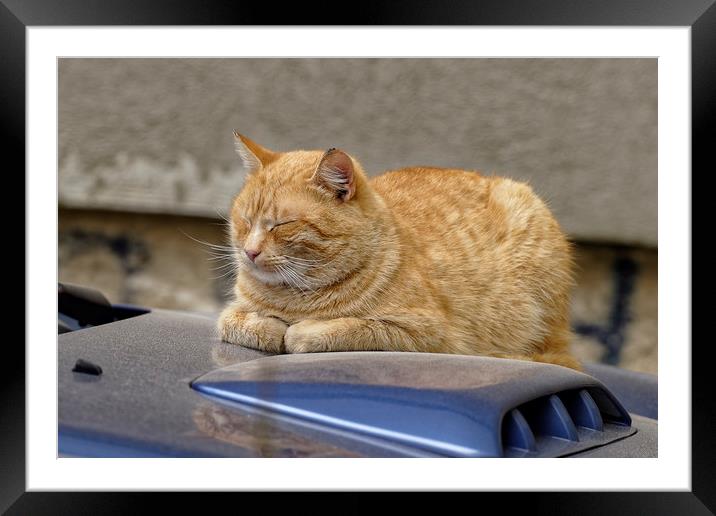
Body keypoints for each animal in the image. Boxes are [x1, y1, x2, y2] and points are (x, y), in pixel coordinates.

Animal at [215, 131, 580, 368]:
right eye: (245, 220)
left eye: (281, 224)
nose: (250, 252)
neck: (293, 298)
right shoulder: (233, 310)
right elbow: (235, 322)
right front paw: (269, 326)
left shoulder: (425, 334)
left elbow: (349, 329)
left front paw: (301, 331)